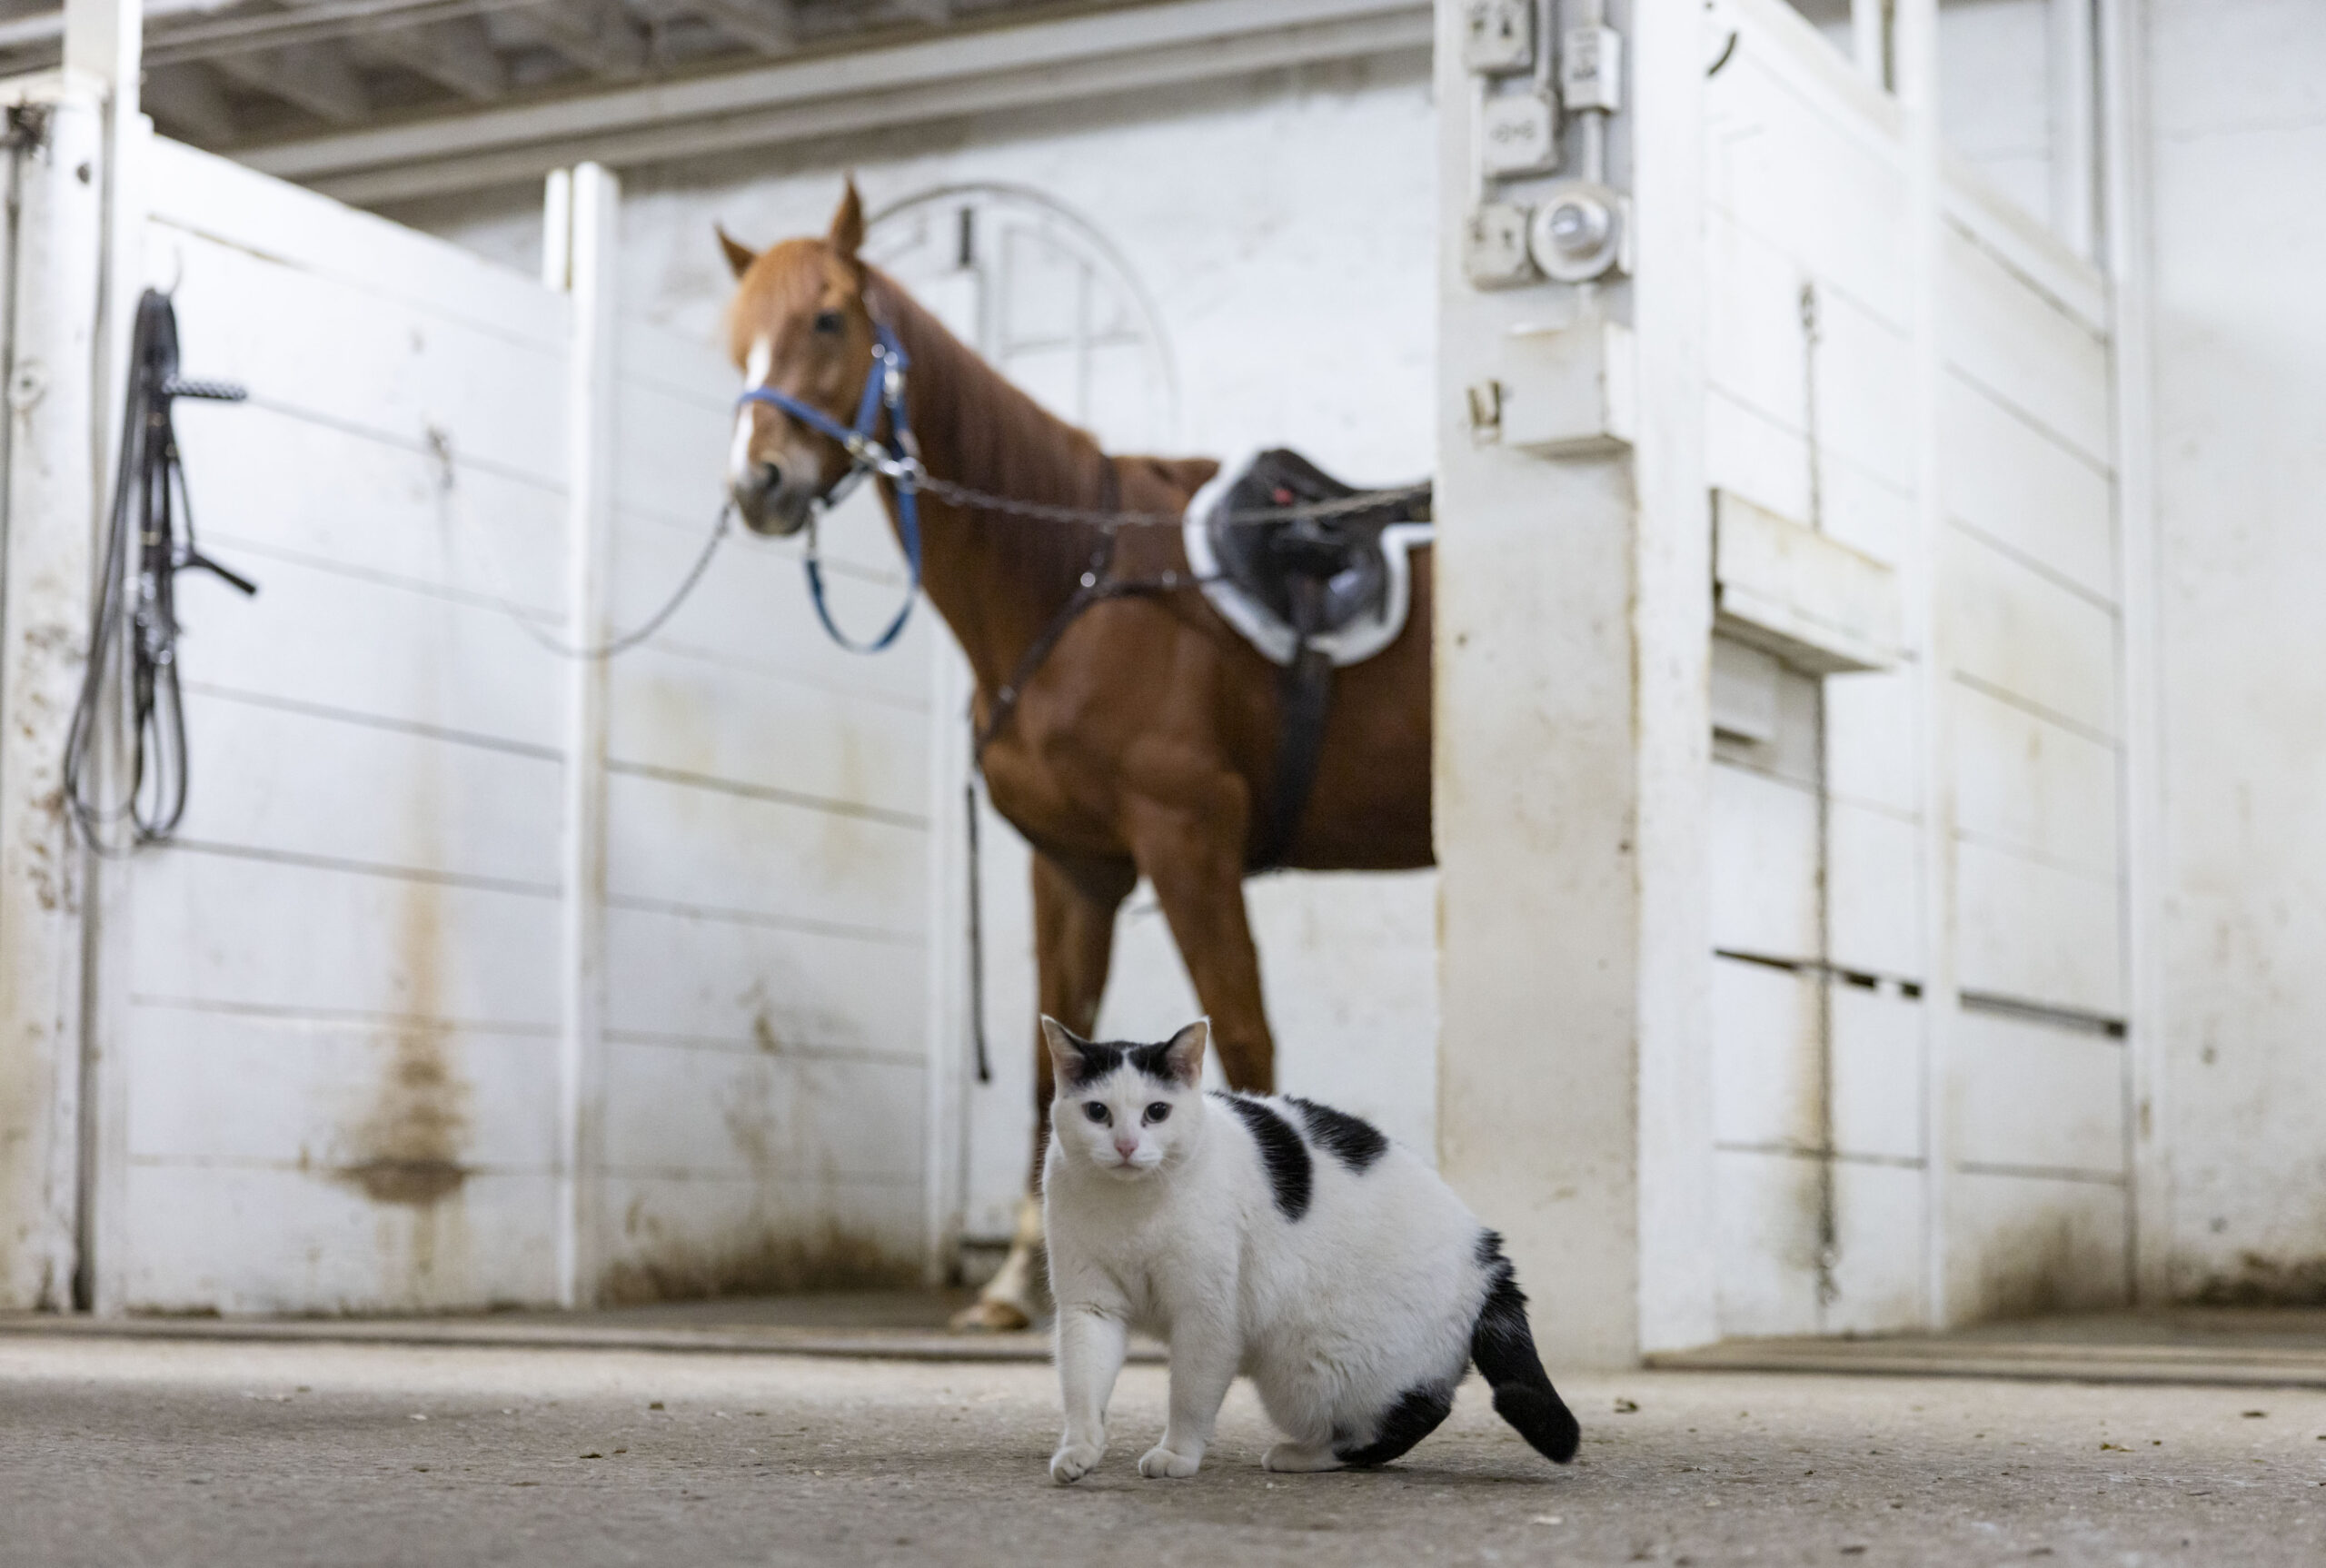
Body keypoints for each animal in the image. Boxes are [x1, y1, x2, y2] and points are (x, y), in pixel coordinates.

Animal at [721, 184, 1432, 1321]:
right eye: (731, 338)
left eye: (827, 318)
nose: (761, 482)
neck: (1077, 587)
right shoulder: (1075, 868)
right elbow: (1051, 1053)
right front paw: (1018, 1275)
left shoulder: (1188, 841)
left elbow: (1243, 1037)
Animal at [1041, 1014, 1572, 1479]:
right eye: (1097, 1112)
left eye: (1157, 1111)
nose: (1126, 1146)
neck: (1133, 1209)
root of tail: (1486, 1254)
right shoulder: (1091, 1307)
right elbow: (1082, 1384)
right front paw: (1080, 1450)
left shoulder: (1207, 1316)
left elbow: (1189, 1396)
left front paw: (1177, 1455)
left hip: (1306, 1370)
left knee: (1415, 1414)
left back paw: (1302, 1455)